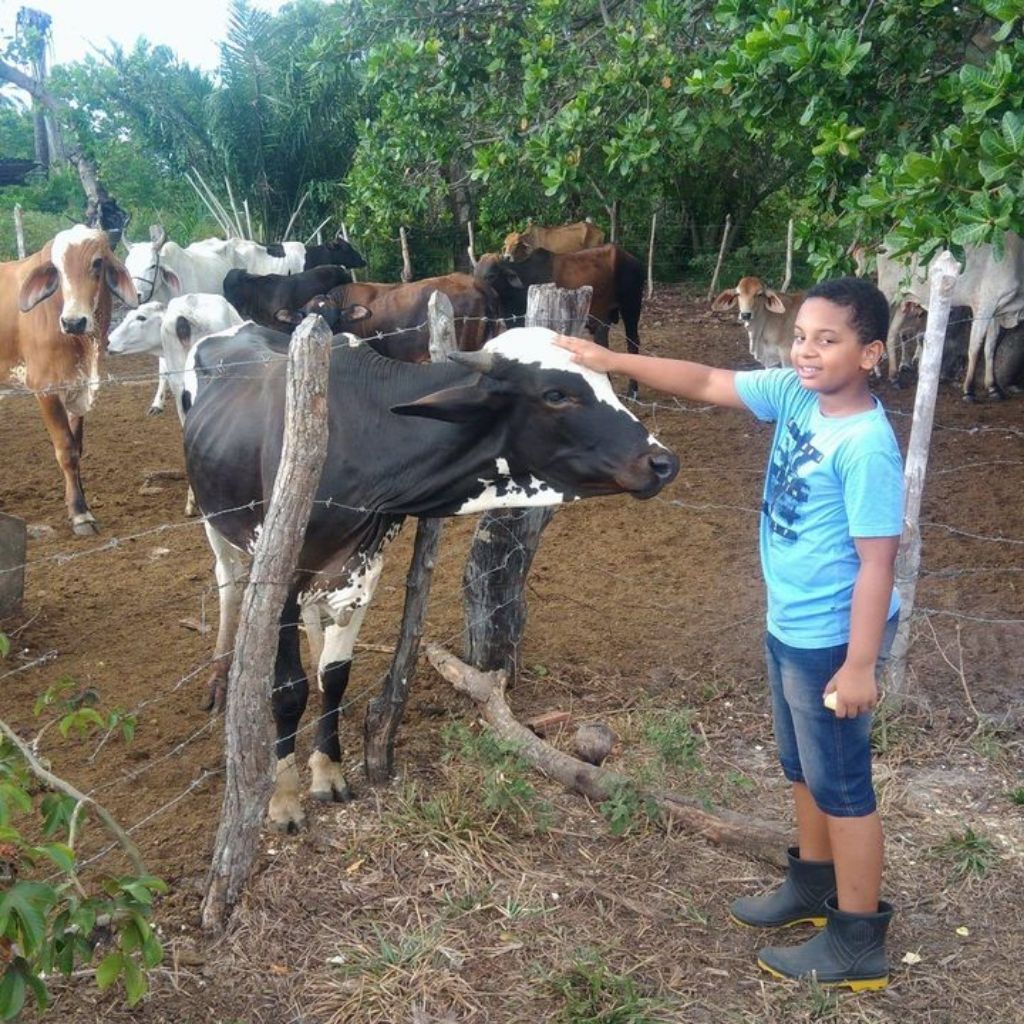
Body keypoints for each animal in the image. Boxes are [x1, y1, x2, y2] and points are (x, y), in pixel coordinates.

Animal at [0, 225, 138, 536]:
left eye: (97, 263)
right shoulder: (46, 388)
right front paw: (79, 513)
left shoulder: (79, 389)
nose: (74, 322)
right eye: (57, 268)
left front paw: (79, 500)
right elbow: (66, 449)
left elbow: (78, 446)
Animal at [184, 325, 679, 831]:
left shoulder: (361, 570)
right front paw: (284, 800)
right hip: (215, 519)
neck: (360, 436)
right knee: (228, 582)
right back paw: (220, 679)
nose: (662, 462)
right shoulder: (281, 576)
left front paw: (327, 771)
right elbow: (287, 690)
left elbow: (334, 677)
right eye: (556, 394)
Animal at [471, 241, 638, 397]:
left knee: (632, 344)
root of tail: (630, 257)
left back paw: (633, 391)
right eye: (475, 273)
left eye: (491, 275)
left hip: (630, 308)